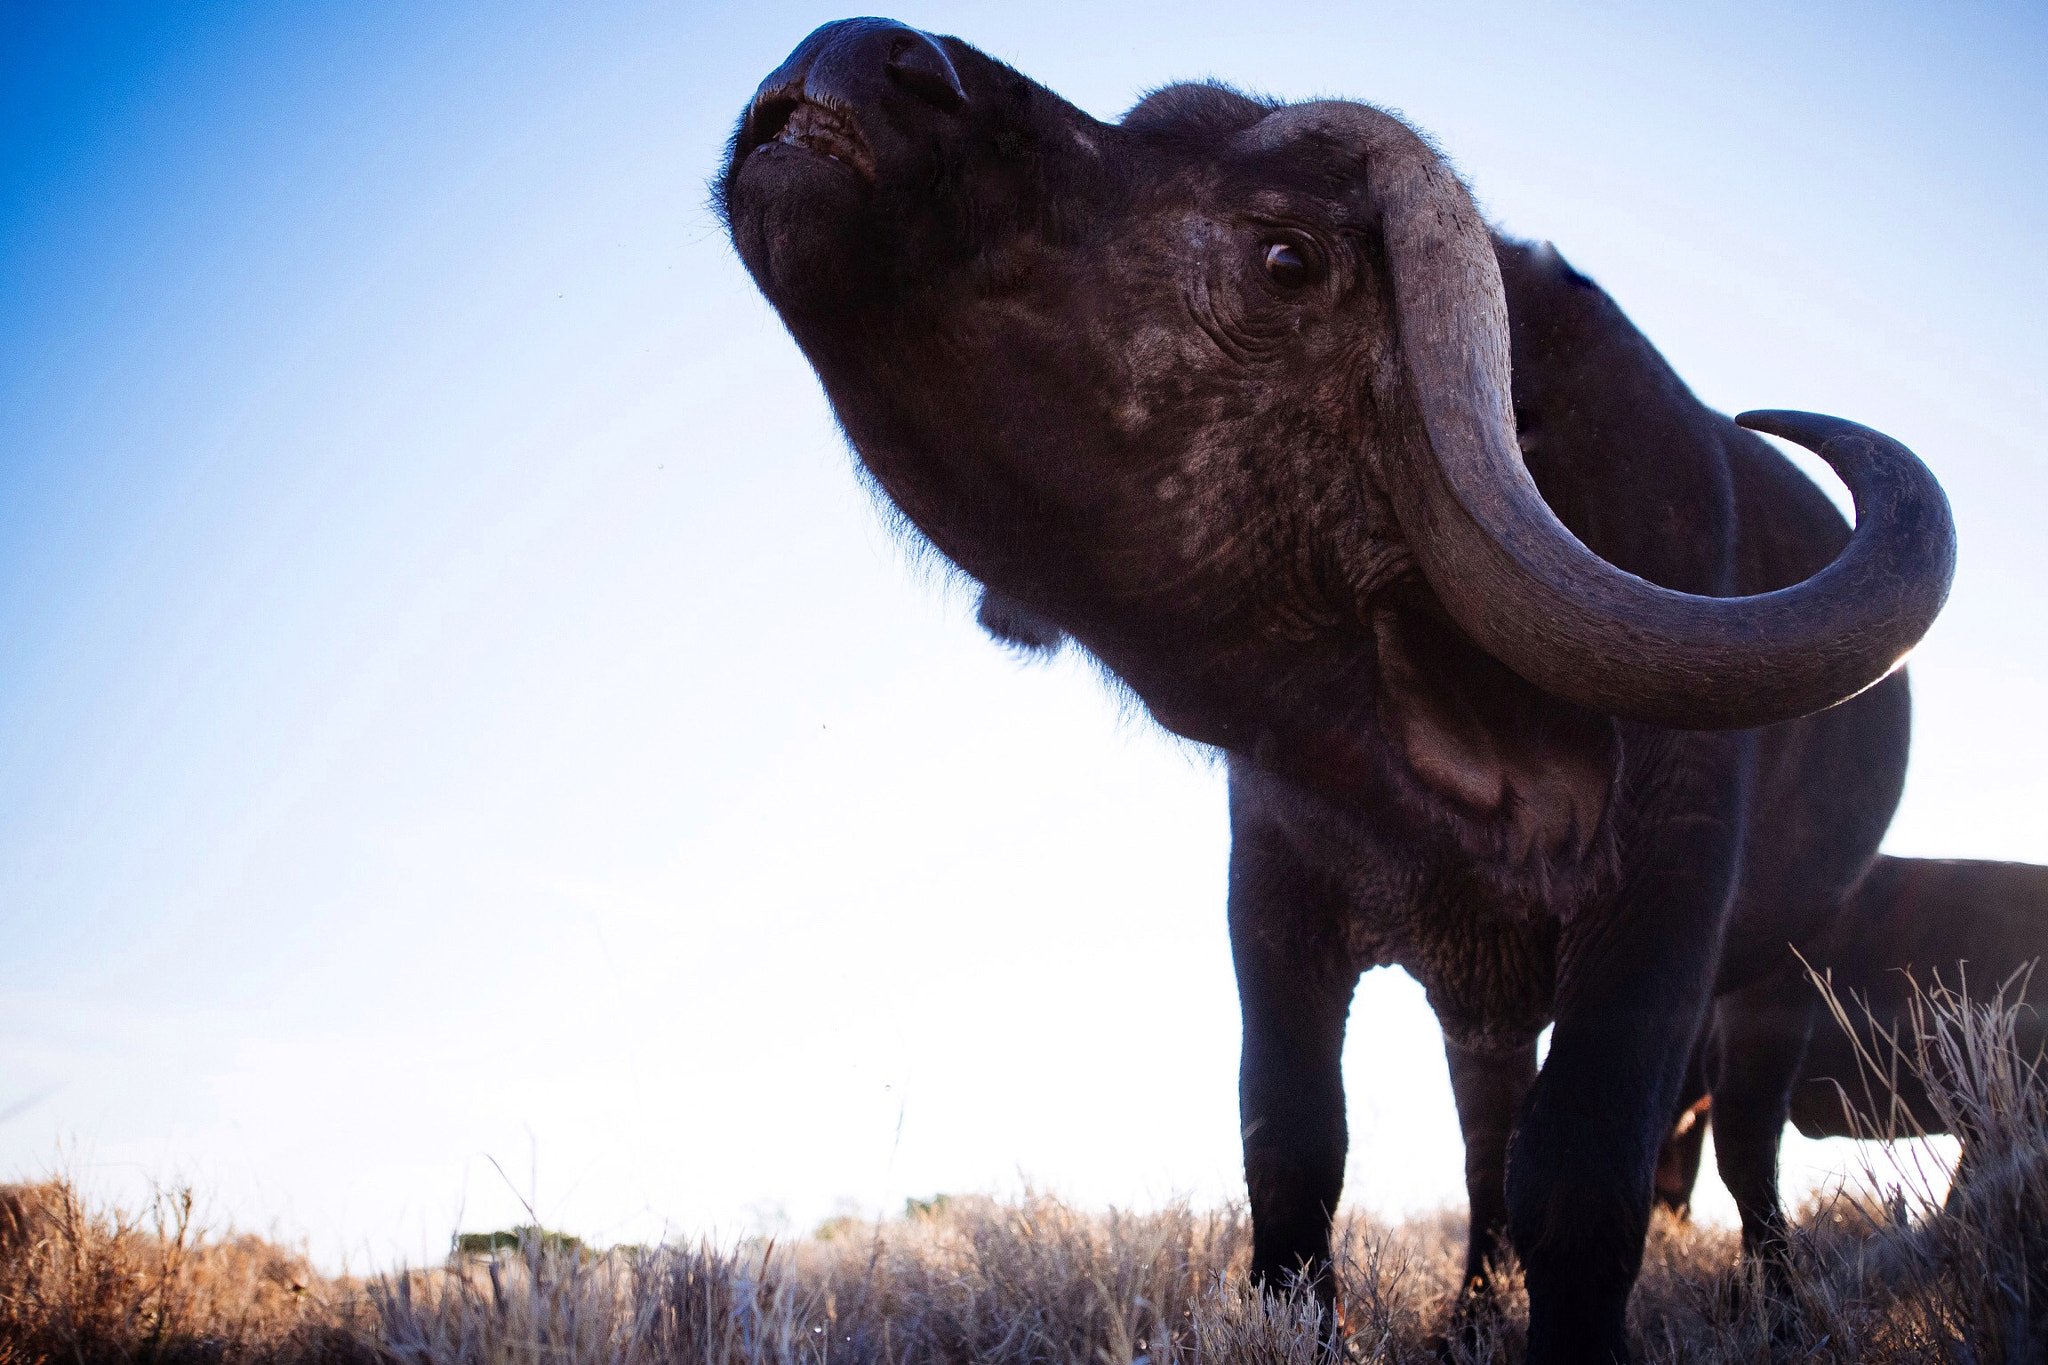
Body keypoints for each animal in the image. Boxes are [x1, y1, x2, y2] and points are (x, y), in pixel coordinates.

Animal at [717, 20, 1956, 1362]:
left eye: (1285, 259)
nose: (865, 52)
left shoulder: (1663, 905)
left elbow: (1582, 1169)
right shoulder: (1272, 893)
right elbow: (1293, 1149)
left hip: (1780, 971)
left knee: (1737, 1149)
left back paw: (1773, 1296)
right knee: (1483, 1145)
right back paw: (1467, 1310)